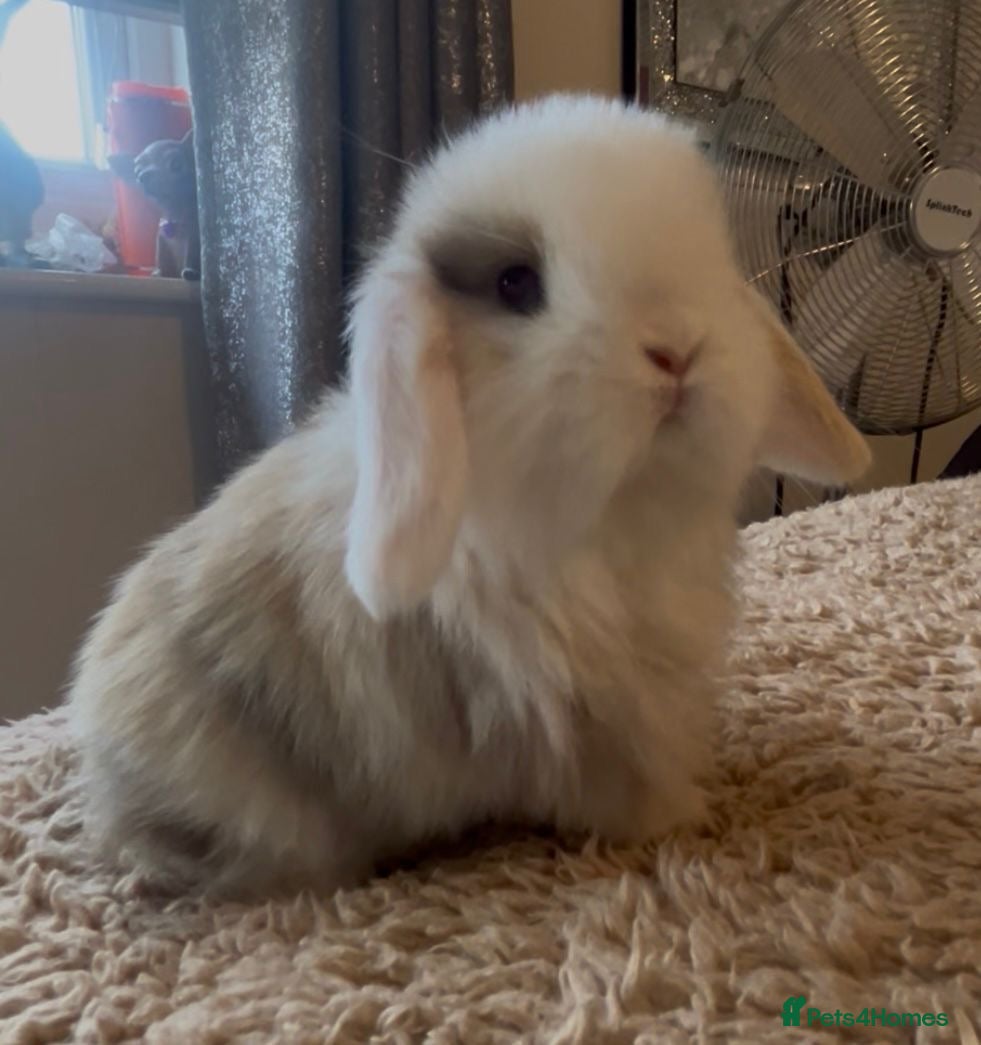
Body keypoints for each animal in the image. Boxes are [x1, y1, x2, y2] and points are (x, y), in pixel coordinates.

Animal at [67, 94, 871, 897]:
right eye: (516, 283)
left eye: (715, 259)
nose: (677, 349)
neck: (603, 521)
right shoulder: (591, 720)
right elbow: (630, 791)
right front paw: (690, 820)